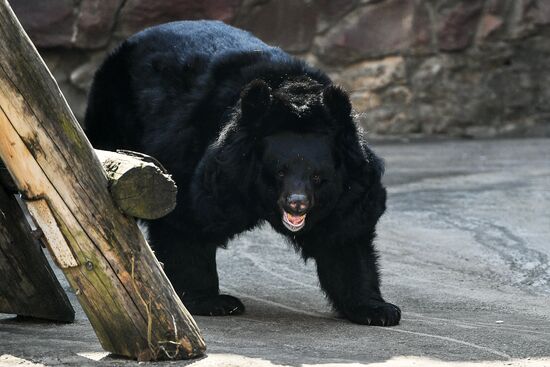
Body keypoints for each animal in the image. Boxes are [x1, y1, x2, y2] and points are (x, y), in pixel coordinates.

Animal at [86, 20, 402, 326]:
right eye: (280, 172)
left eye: (317, 176)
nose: (297, 204)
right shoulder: (209, 164)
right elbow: (188, 218)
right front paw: (213, 302)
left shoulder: (351, 185)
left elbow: (346, 237)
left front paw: (379, 310)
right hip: (116, 114)